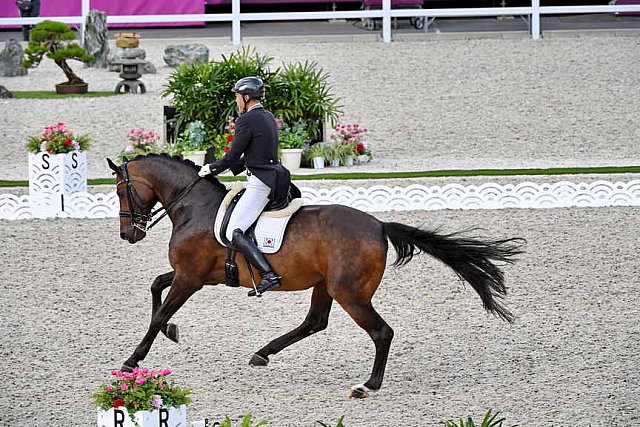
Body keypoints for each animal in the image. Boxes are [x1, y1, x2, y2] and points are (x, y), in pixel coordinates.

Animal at [106, 155, 524, 402]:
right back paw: (263, 353)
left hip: (348, 292)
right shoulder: (193, 275)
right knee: (315, 322)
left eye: (121, 190)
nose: (129, 234)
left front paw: (133, 360)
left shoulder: (190, 277)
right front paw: (170, 332)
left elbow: (160, 310)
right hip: (326, 286)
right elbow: (156, 287)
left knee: (380, 332)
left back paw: (367, 385)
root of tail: (379, 226)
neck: (196, 207)